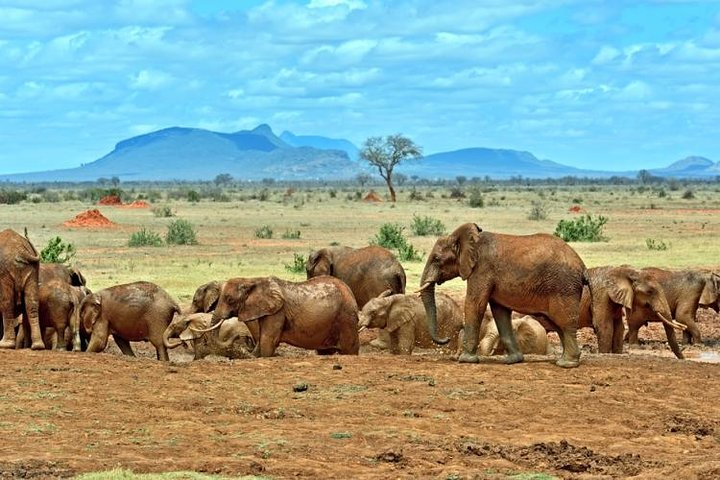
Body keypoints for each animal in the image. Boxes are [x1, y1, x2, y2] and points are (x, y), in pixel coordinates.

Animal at [207, 276, 360, 357]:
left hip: (346, 317)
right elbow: (262, 339)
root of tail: (350, 291)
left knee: (349, 349)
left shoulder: (277, 312)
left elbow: (267, 340)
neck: (252, 280)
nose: (240, 336)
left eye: (229, 299)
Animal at [419, 223, 586, 368]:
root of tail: (582, 266)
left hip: (564, 287)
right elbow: (500, 312)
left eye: (436, 259)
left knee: (565, 324)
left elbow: (475, 304)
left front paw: (466, 360)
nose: (445, 339)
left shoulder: (482, 269)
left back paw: (567, 364)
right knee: (558, 325)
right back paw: (563, 360)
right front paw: (513, 360)